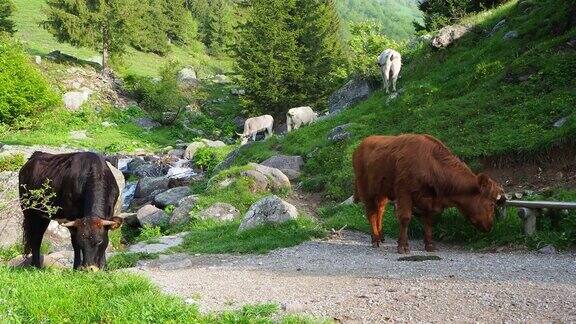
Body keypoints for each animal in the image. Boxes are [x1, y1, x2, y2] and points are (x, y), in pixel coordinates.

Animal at [352, 134, 504, 253]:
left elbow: (428, 221)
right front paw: (403, 246)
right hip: (367, 191)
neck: (430, 164)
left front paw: (430, 245)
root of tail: (362, 144)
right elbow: (405, 218)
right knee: (371, 213)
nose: (490, 226)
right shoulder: (404, 193)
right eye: (491, 204)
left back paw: (381, 237)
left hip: (382, 194)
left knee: (379, 212)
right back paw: (375, 239)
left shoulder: (429, 200)